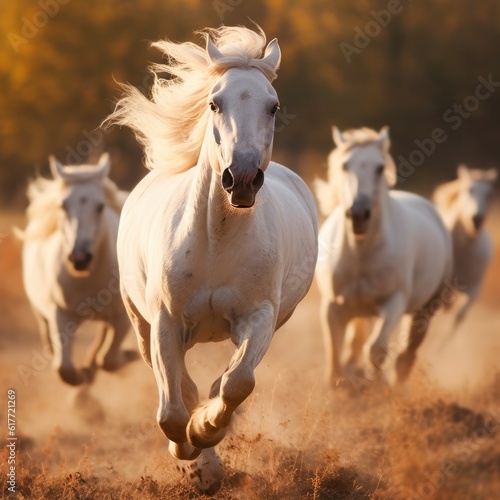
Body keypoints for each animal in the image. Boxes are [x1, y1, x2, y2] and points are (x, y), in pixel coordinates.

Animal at [19, 154, 134, 384]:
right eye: (63, 205)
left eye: (100, 206)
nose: (80, 258)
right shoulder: (61, 316)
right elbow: (65, 369)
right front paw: (84, 373)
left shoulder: (122, 318)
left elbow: (108, 360)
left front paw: (127, 355)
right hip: (41, 314)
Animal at [105, 26, 316, 488]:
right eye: (214, 103)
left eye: (273, 106)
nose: (242, 178)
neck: (216, 242)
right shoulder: (165, 323)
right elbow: (172, 410)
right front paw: (189, 450)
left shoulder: (259, 317)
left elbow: (236, 383)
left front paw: (204, 429)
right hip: (139, 323)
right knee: (179, 386)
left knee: (224, 381)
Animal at [316, 127, 454, 388]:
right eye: (344, 166)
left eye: (380, 168)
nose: (359, 214)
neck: (361, 254)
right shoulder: (333, 306)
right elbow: (334, 357)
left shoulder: (393, 302)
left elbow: (377, 350)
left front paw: (375, 388)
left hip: (423, 310)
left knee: (406, 355)